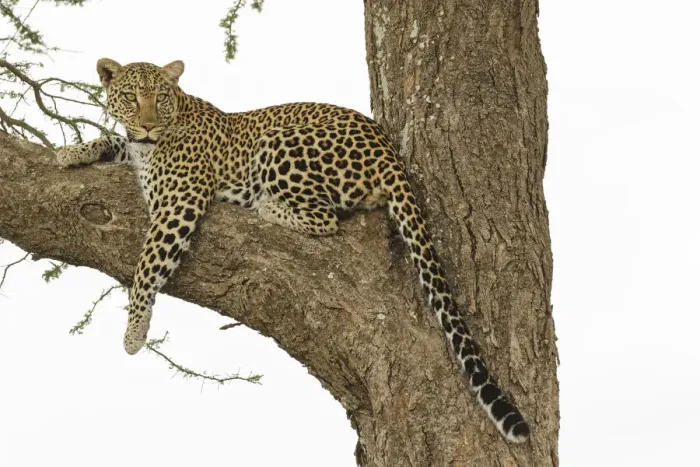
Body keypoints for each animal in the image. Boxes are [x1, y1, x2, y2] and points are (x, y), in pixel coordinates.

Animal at [56, 58, 530, 443]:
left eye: (161, 98)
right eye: (132, 98)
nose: (150, 125)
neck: (152, 143)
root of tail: (388, 150)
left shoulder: (178, 203)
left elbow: (147, 265)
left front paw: (134, 332)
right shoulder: (138, 156)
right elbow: (111, 140)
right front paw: (71, 153)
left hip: (280, 141)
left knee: (325, 217)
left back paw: (264, 204)